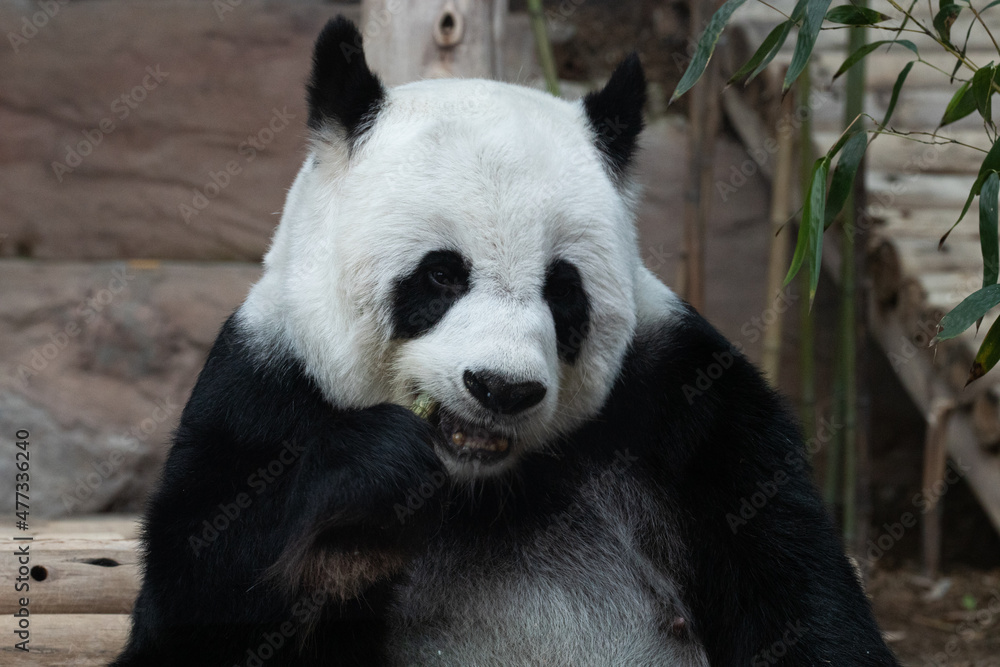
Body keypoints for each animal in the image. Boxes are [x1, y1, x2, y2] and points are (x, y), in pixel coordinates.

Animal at [114, 16, 900, 667]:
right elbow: (188, 602)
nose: (501, 388)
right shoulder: (262, 390)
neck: (479, 485)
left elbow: (802, 602)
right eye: (440, 274)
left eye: (563, 289)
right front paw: (369, 494)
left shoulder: (687, 401)